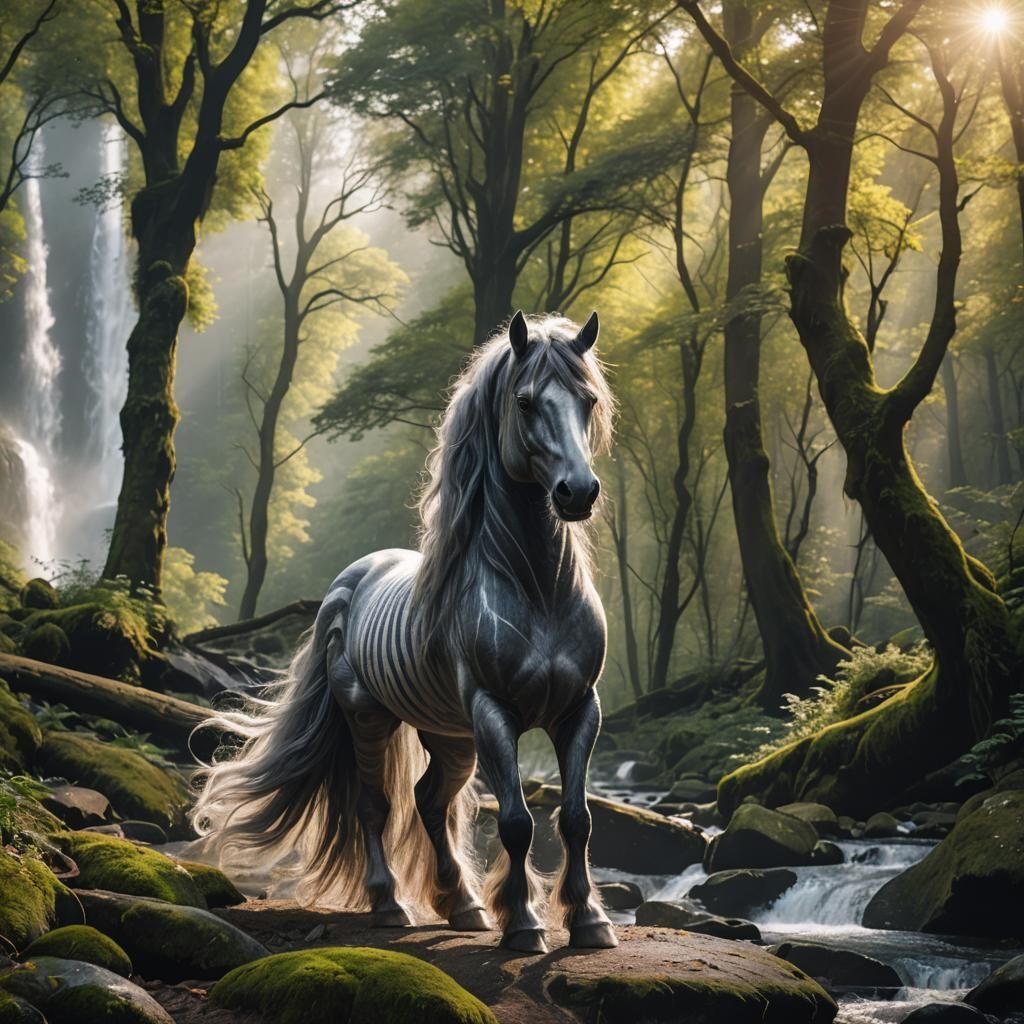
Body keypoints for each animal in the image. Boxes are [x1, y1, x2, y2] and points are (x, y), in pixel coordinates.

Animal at [192, 310, 617, 954]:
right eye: (524, 402)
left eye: (588, 400)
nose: (578, 492)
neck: (536, 590)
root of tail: (350, 581)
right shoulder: (493, 712)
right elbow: (517, 821)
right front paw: (524, 925)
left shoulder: (578, 710)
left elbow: (576, 818)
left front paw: (589, 921)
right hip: (371, 718)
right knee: (375, 806)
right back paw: (390, 905)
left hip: (451, 735)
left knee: (429, 802)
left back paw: (465, 905)